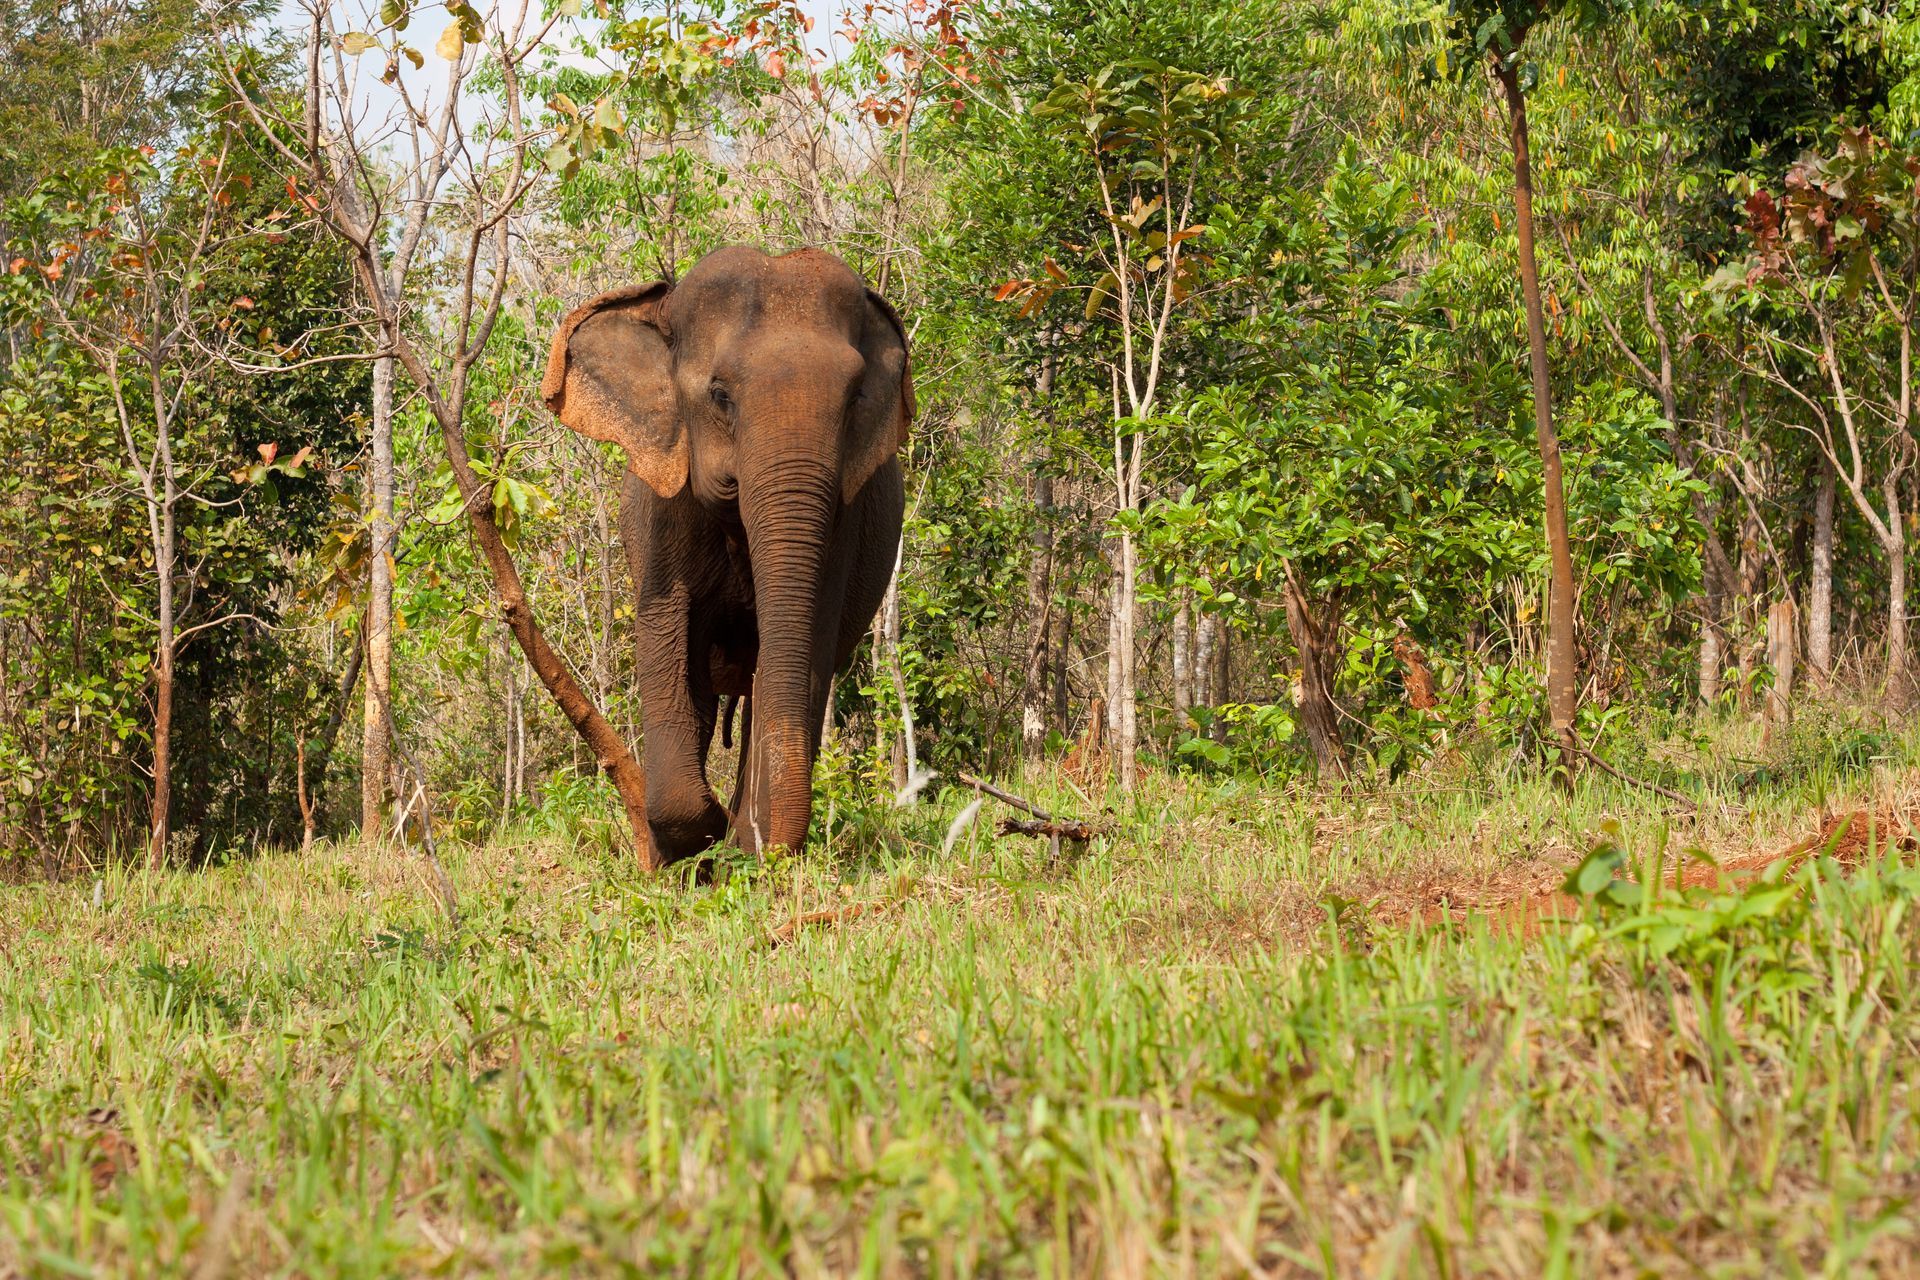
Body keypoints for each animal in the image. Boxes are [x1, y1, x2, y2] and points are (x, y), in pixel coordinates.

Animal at [542, 246, 911, 863]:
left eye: (856, 398)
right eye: (720, 395)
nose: (747, 841)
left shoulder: (845, 523)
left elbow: (806, 647)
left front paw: (739, 846)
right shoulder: (665, 515)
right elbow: (666, 640)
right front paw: (703, 839)